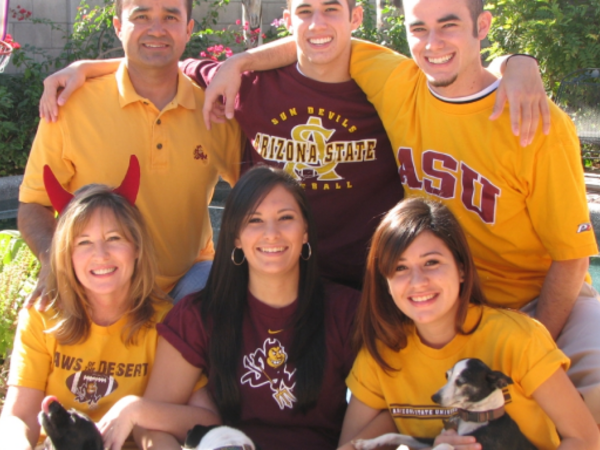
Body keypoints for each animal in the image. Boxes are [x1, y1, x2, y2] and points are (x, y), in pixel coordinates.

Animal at [350, 358, 536, 450]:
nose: (435, 397)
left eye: (462, 381)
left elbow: (446, 444)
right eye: (447, 375)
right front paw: (367, 443)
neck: (476, 416)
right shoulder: (433, 439)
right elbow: (393, 435)